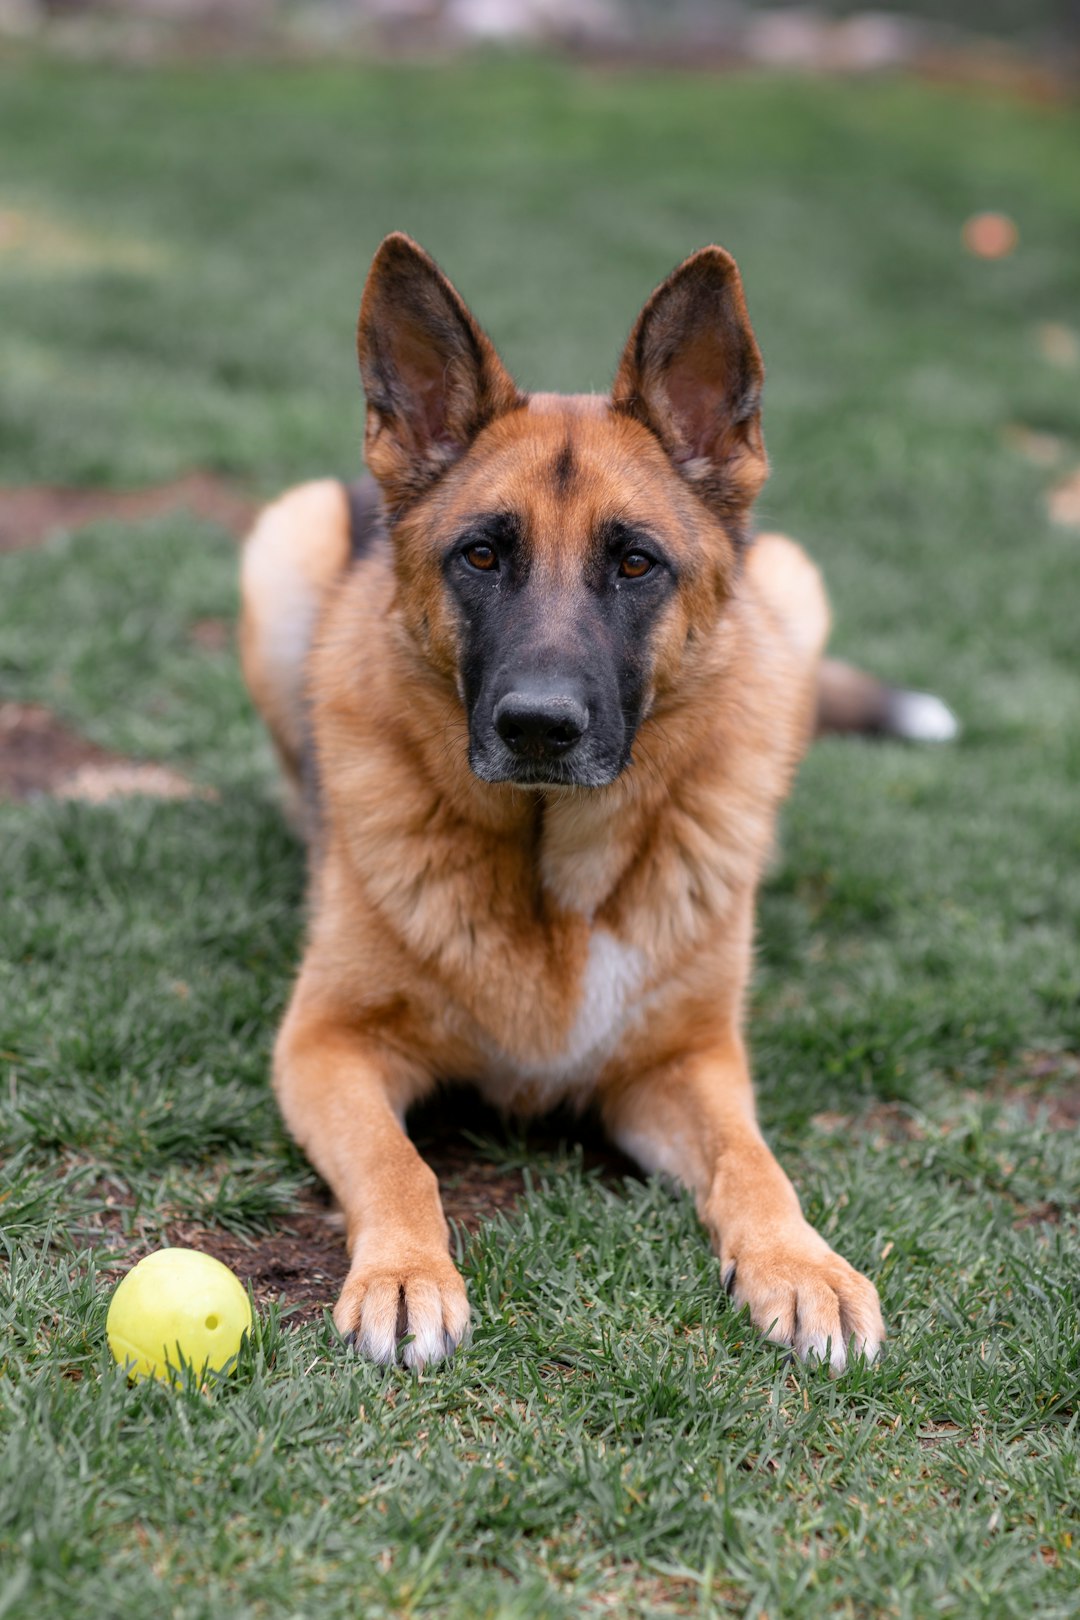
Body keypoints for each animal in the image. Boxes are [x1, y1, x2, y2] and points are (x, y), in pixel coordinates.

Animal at [242, 234, 952, 1373]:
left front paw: (802, 1265)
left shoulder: (686, 1064)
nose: (538, 727)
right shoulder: (326, 1045)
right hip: (281, 547)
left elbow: (756, 1161)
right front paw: (405, 1272)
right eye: (482, 554)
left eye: (635, 563)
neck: (554, 876)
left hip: (794, 591)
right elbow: (401, 1164)